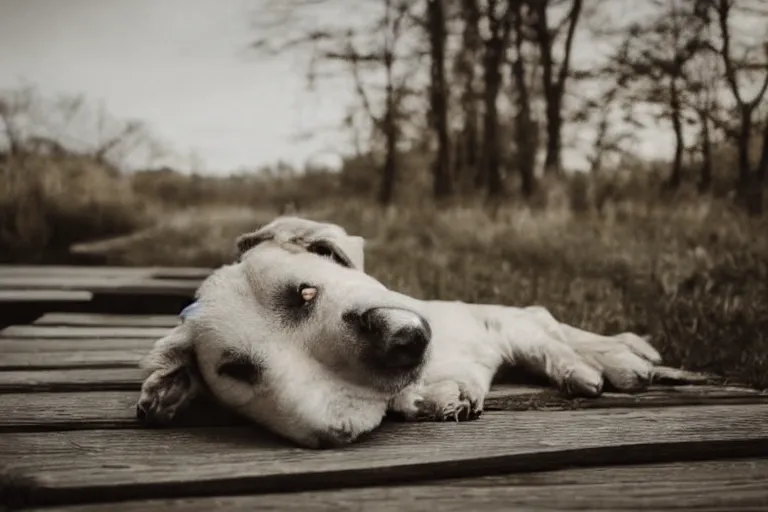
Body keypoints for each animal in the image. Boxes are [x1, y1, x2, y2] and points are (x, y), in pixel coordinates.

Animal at [132, 216, 684, 448]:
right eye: (239, 370)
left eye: (305, 293)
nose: (400, 342)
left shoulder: (497, 324)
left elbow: (550, 343)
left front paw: (596, 366)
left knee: (555, 324)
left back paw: (625, 354)